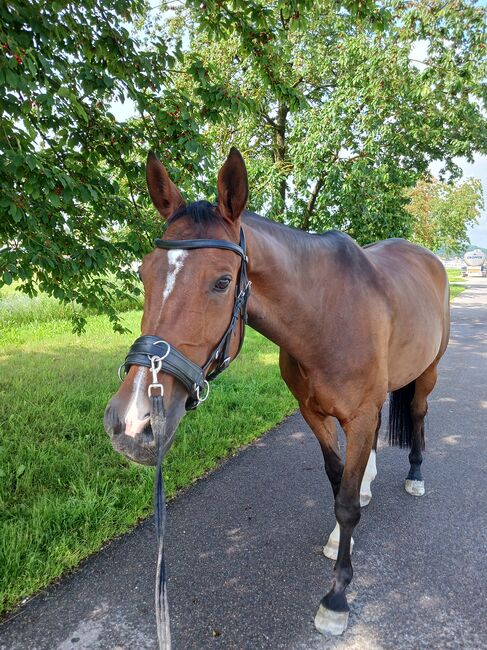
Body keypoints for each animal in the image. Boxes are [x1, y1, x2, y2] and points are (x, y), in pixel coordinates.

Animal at [105, 144, 452, 636]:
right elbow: (339, 482)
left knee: (419, 414)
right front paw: (343, 533)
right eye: (142, 273)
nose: (132, 423)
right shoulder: (313, 413)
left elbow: (346, 504)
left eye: (222, 281)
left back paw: (416, 476)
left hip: (428, 373)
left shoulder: (359, 414)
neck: (326, 316)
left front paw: (336, 598)